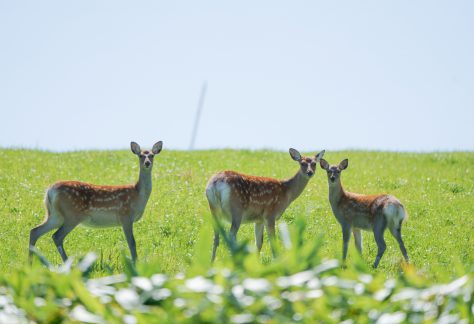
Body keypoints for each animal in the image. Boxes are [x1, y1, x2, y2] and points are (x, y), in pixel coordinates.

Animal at [30, 141, 163, 264]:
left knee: (35, 231)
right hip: (72, 215)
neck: (138, 195)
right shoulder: (125, 216)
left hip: (55, 215)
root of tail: (50, 190)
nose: (147, 163)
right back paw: (68, 264)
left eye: (152, 155)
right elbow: (132, 242)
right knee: (56, 236)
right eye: (140, 155)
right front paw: (136, 264)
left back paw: (30, 263)